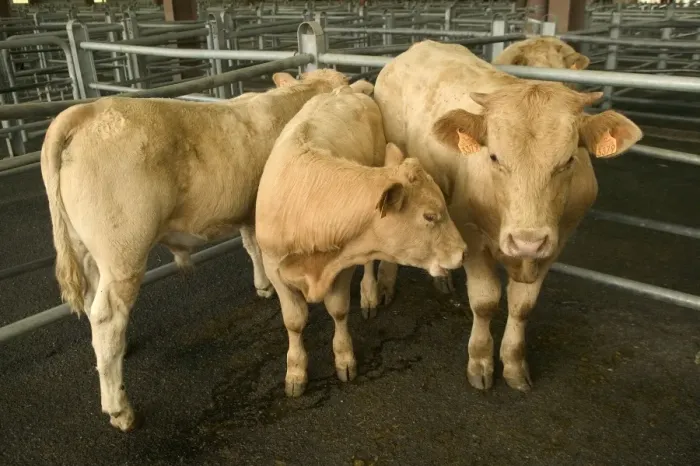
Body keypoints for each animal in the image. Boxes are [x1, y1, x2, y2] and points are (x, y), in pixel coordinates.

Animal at [40, 68, 359, 432]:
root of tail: (85, 111)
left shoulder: (248, 211)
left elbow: (251, 246)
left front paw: (263, 286)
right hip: (123, 252)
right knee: (107, 315)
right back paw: (120, 409)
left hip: (88, 251)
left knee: (96, 306)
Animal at [255, 79, 466, 398]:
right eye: (430, 216)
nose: (463, 251)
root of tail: (347, 89)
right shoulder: (274, 269)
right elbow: (294, 321)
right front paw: (295, 372)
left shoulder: (346, 261)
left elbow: (339, 310)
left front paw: (345, 359)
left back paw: (369, 295)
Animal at [371, 40, 642, 392]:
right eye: (494, 156)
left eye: (568, 160)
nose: (526, 241)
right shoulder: (470, 234)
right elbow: (485, 301)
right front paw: (480, 360)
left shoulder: (554, 244)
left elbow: (522, 305)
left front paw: (513, 363)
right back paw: (386, 284)